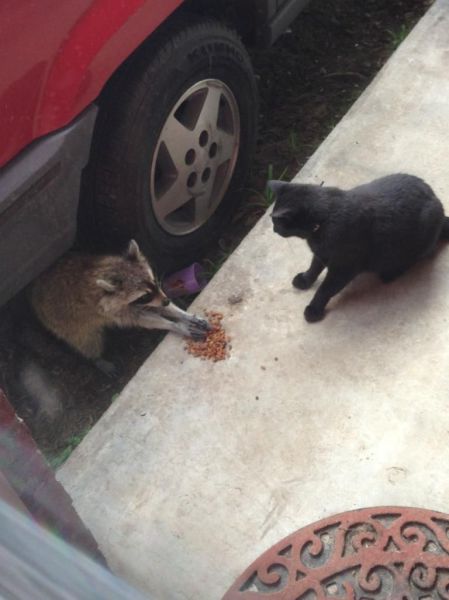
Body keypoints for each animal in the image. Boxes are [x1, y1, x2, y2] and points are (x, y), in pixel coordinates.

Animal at [29, 240, 208, 372]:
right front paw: (175, 325)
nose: (166, 301)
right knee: (86, 340)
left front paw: (182, 315)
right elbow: (145, 319)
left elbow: (157, 308)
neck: (107, 271)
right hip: (64, 323)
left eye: (154, 282)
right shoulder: (108, 310)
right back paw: (97, 358)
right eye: (145, 295)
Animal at [268, 173, 448, 324]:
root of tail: (436, 200)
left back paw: (391, 273)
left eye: (276, 222)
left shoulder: (343, 268)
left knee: (421, 255)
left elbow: (325, 289)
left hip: (416, 240)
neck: (324, 218)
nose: (273, 229)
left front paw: (314, 309)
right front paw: (305, 280)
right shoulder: (321, 254)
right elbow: (314, 268)